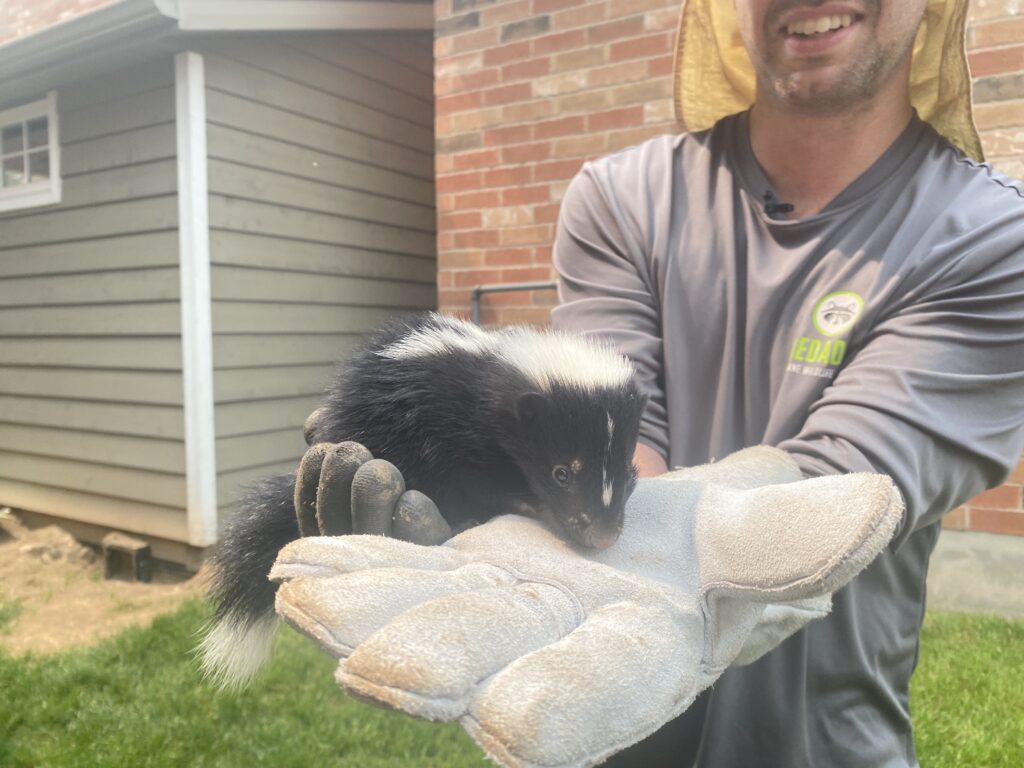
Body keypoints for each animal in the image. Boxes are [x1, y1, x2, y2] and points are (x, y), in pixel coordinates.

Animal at [198, 313, 643, 692]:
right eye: (561, 473)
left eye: (625, 469)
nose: (602, 535)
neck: (492, 371)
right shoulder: (451, 423)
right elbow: (474, 476)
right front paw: (520, 502)